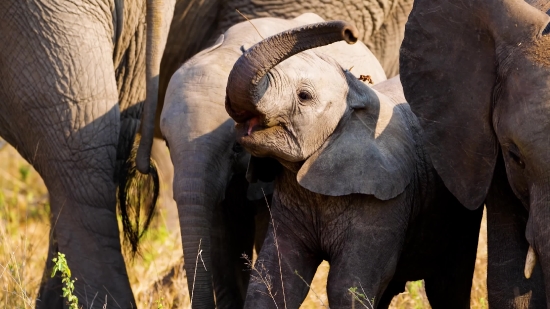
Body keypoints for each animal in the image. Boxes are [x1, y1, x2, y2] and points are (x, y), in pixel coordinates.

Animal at [224, 21, 484, 308]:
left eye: (304, 96)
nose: (351, 32)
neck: (358, 94)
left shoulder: (385, 199)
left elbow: (348, 284)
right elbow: (273, 278)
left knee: (448, 284)